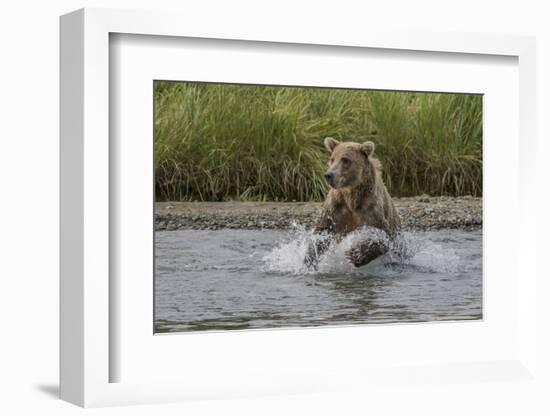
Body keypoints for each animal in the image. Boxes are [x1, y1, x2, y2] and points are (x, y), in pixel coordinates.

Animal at [306, 136, 402, 266]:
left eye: (345, 160)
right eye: (332, 159)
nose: (328, 175)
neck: (352, 197)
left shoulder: (371, 209)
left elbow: (384, 236)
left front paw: (356, 254)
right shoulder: (336, 208)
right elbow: (322, 230)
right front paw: (310, 258)